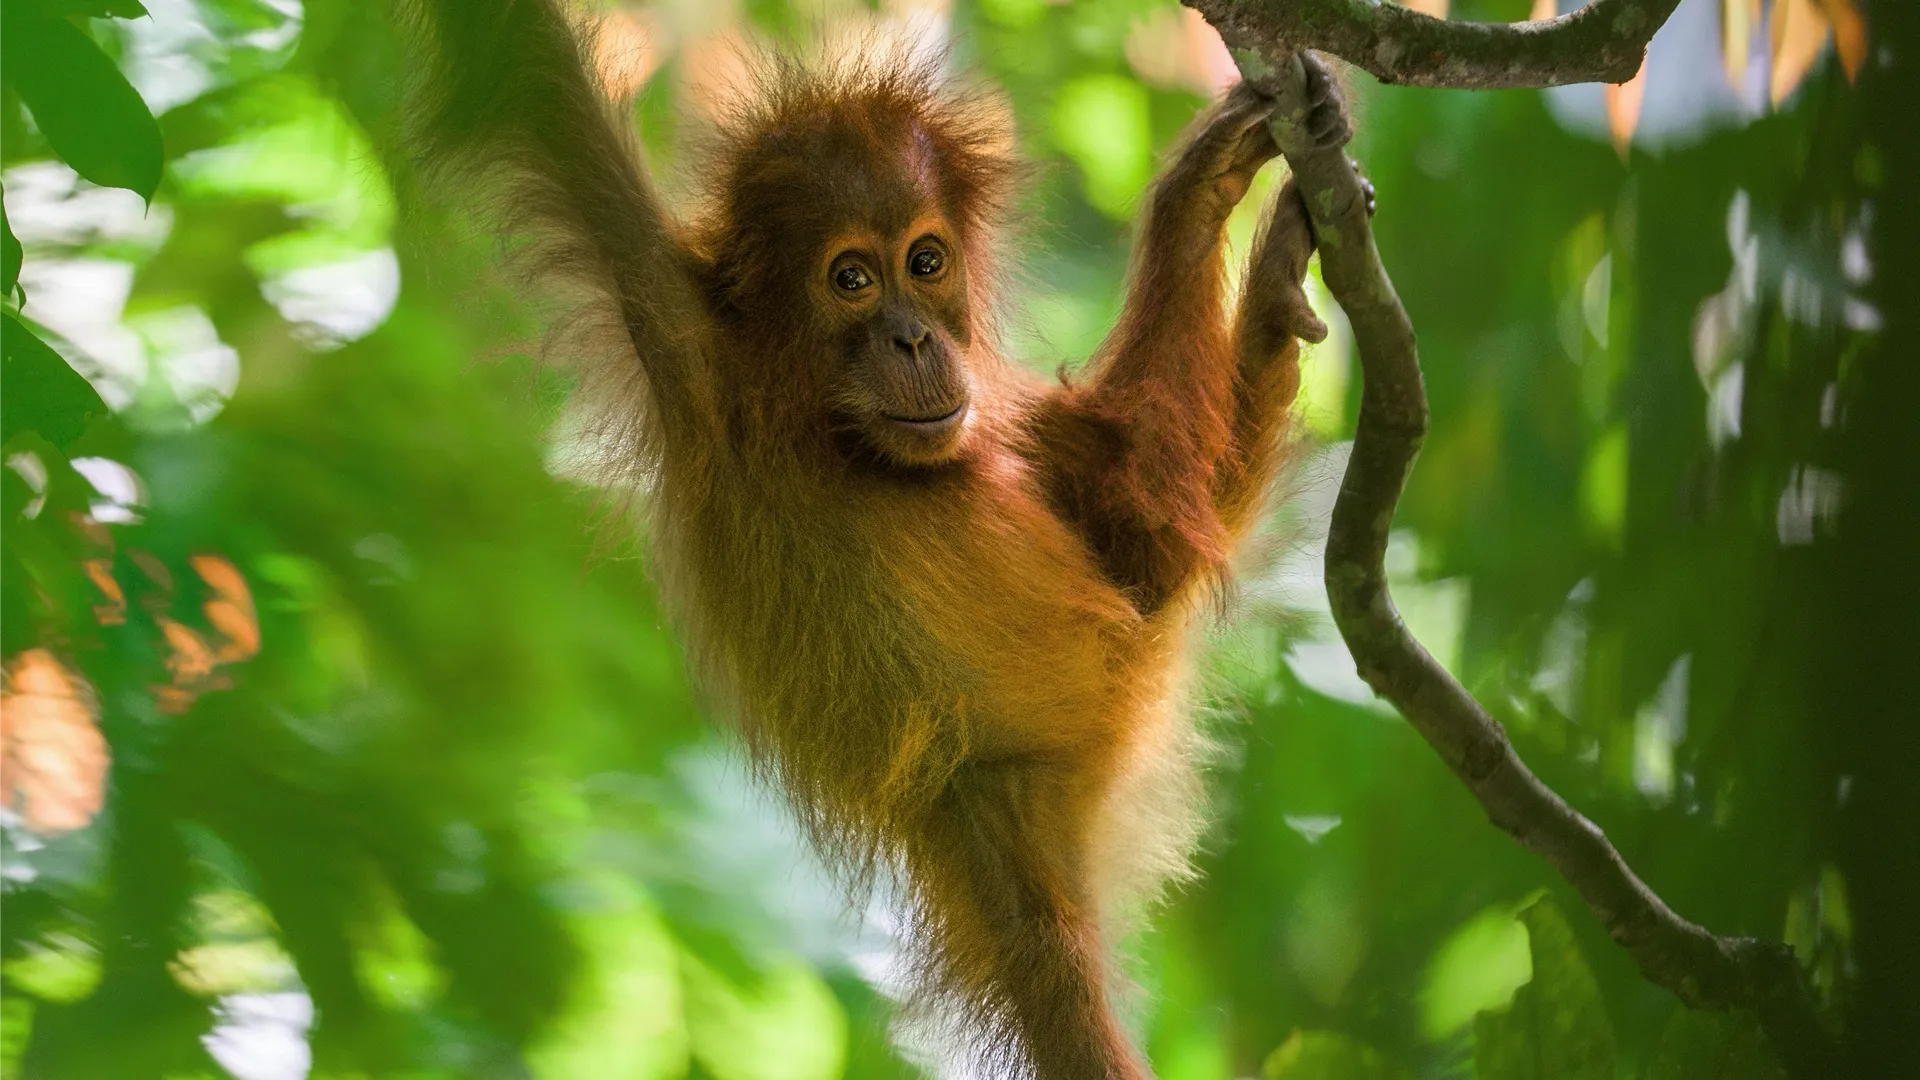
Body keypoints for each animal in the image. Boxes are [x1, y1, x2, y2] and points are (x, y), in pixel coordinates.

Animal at [404, 2, 1346, 1075]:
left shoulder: (997, 425)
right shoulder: (672, 323)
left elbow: (1128, 533)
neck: (829, 431)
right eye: (852, 278)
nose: (913, 338)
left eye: (926, 263)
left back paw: (1268, 305)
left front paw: (1202, 188)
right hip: (988, 821)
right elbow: (535, 83)